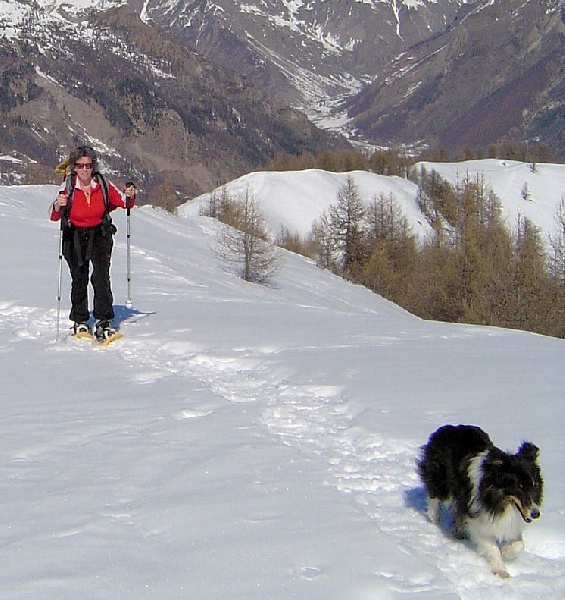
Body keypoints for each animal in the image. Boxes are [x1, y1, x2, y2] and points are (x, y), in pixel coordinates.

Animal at [418, 424, 540, 580]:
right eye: (519, 487)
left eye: (534, 485)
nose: (536, 513)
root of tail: (448, 427)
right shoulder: (479, 520)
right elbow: (493, 548)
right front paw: (501, 571)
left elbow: (519, 543)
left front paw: (507, 552)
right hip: (440, 479)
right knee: (434, 495)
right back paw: (434, 517)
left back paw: (458, 533)